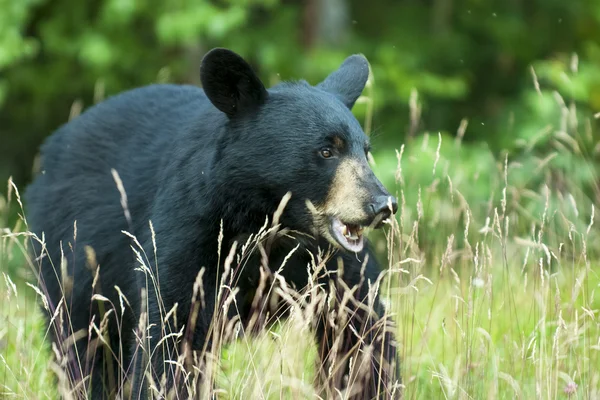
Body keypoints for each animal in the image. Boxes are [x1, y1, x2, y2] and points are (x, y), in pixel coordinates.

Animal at [28, 48, 400, 398]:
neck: (269, 223)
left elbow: (359, 327)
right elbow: (173, 329)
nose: (382, 204)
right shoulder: (191, 229)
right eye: (326, 151)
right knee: (85, 346)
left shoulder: (330, 259)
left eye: (365, 150)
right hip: (71, 257)